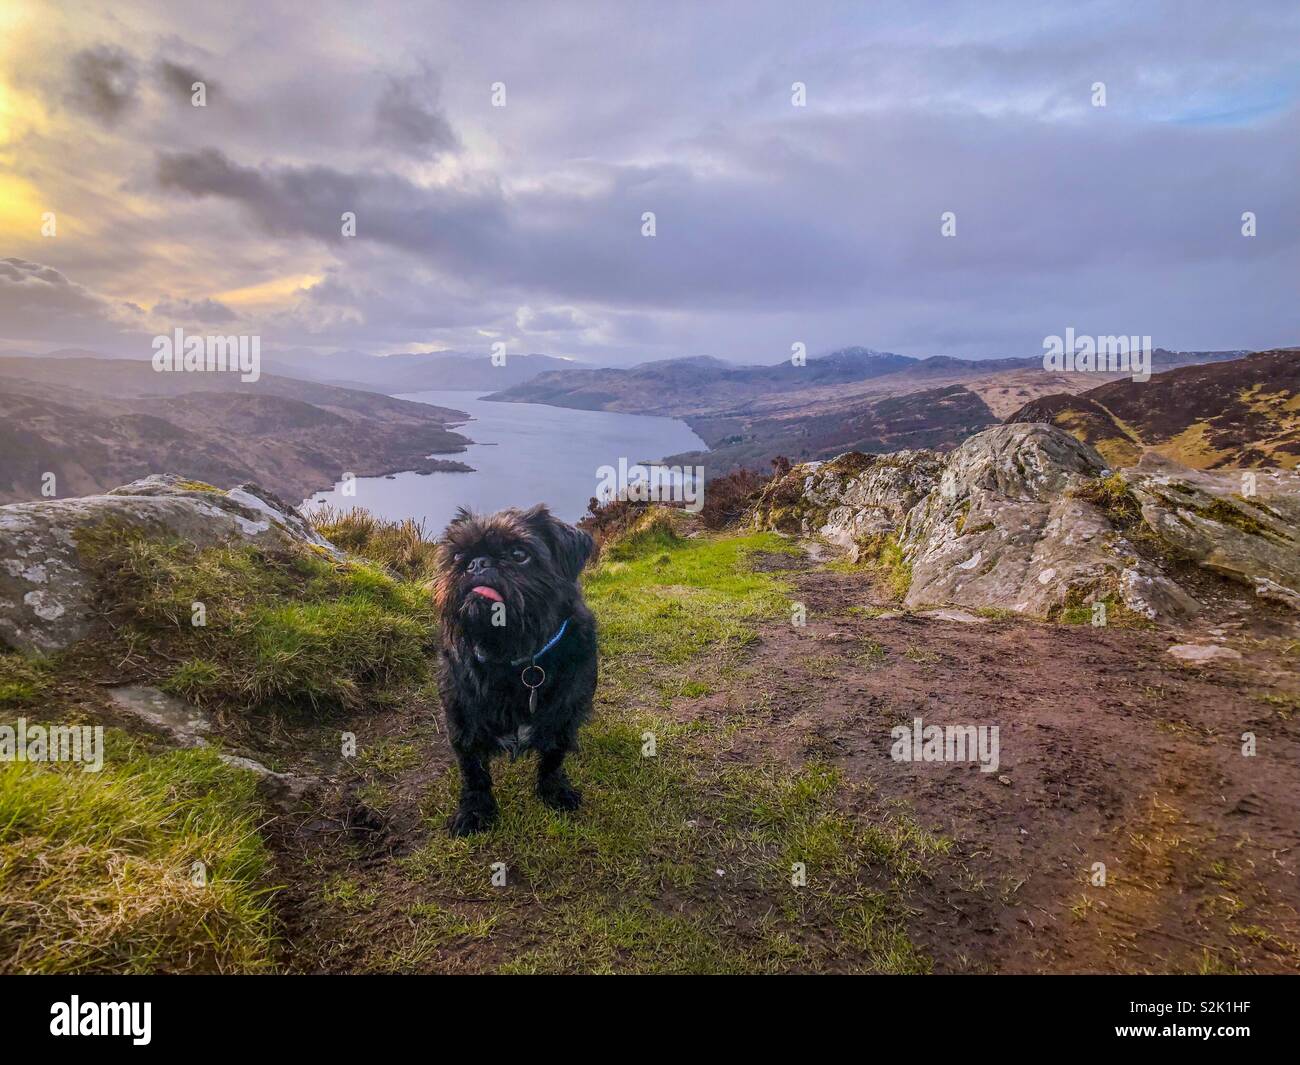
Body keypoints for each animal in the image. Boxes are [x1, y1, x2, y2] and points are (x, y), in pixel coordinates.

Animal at [436, 504, 598, 837]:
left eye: (519, 554)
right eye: (457, 556)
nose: (477, 563)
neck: (515, 658)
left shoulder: (563, 720)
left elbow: (553, 759)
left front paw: (553, 791)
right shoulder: (461, 722)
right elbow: (474, 772)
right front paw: (475, 811)